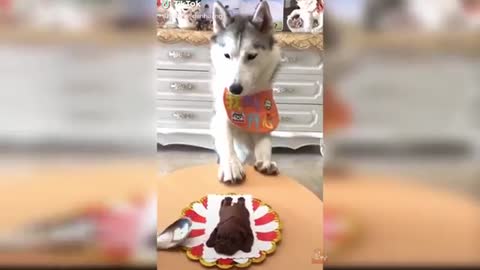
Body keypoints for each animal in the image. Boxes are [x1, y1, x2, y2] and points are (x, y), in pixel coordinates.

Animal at [209, 0, 282, 184]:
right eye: (227, 55)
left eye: (251, 56)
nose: (234, 89)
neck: (245, 100)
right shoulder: (222, 116)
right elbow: (226, 140)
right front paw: (231, 165)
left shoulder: (264, 118)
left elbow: (265, 143)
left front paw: (265, 161)